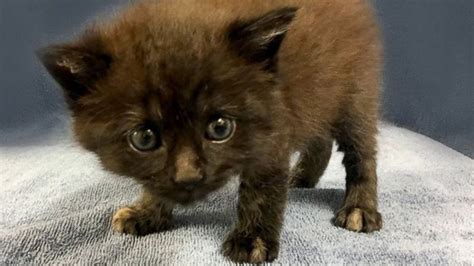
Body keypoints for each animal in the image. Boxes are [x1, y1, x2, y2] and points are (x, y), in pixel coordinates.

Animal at [39, 0, 384, 262]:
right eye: (144, 137)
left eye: (220, 128)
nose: (188, 176)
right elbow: (156, 180)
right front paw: (147, 212)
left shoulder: (273, 131)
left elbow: (261, 190)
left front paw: (252, 239)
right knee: (320, 137)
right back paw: (302, 176)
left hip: (355, 93)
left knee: (361, 152)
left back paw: (359, 208)